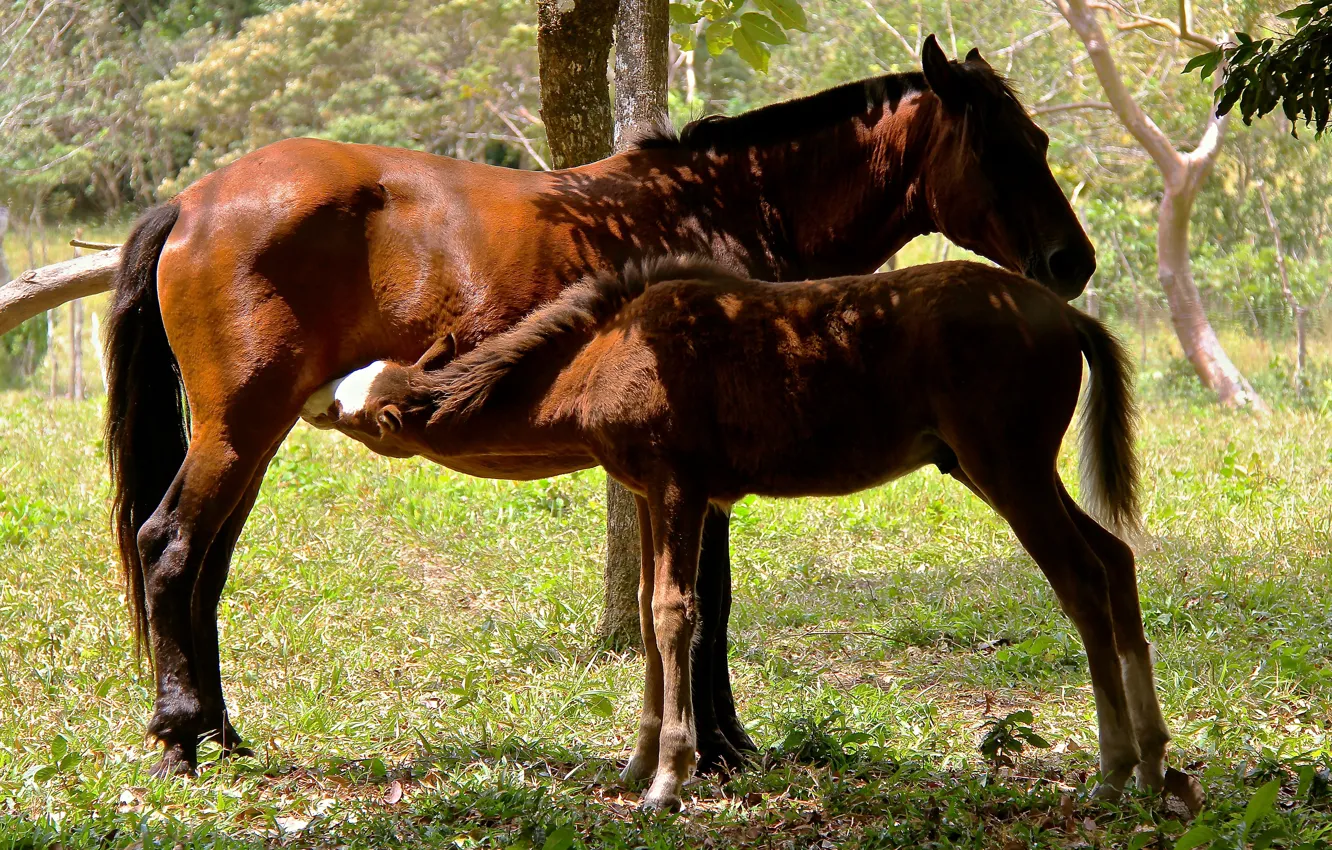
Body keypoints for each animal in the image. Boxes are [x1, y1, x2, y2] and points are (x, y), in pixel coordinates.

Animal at [102, 35, 1096, 777]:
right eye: (1001, 149)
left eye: (1041, 143)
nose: (1072, 263)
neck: (728, 207)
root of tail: (194, 201)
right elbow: (708, 599)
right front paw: (721, 749)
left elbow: (705, 599)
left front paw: (721, 742)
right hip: (238, 428)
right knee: (169, 548)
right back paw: (179, 737)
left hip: (253, 437)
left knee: (206, 570)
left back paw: (224, 734)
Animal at [318, 257, 1164, 812]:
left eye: (364, 411)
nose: (317, 399)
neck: (607, 354)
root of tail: (1065, 313)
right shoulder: (647, 494)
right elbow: (646, 606)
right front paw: (637, 763)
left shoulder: (681, 488)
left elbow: (673, 613)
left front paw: (669, 777)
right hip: (1001, 469)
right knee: (1117, 557)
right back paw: (1155, 763)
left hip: (1007, 468)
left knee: (1083, 577)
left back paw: (1115, 769)